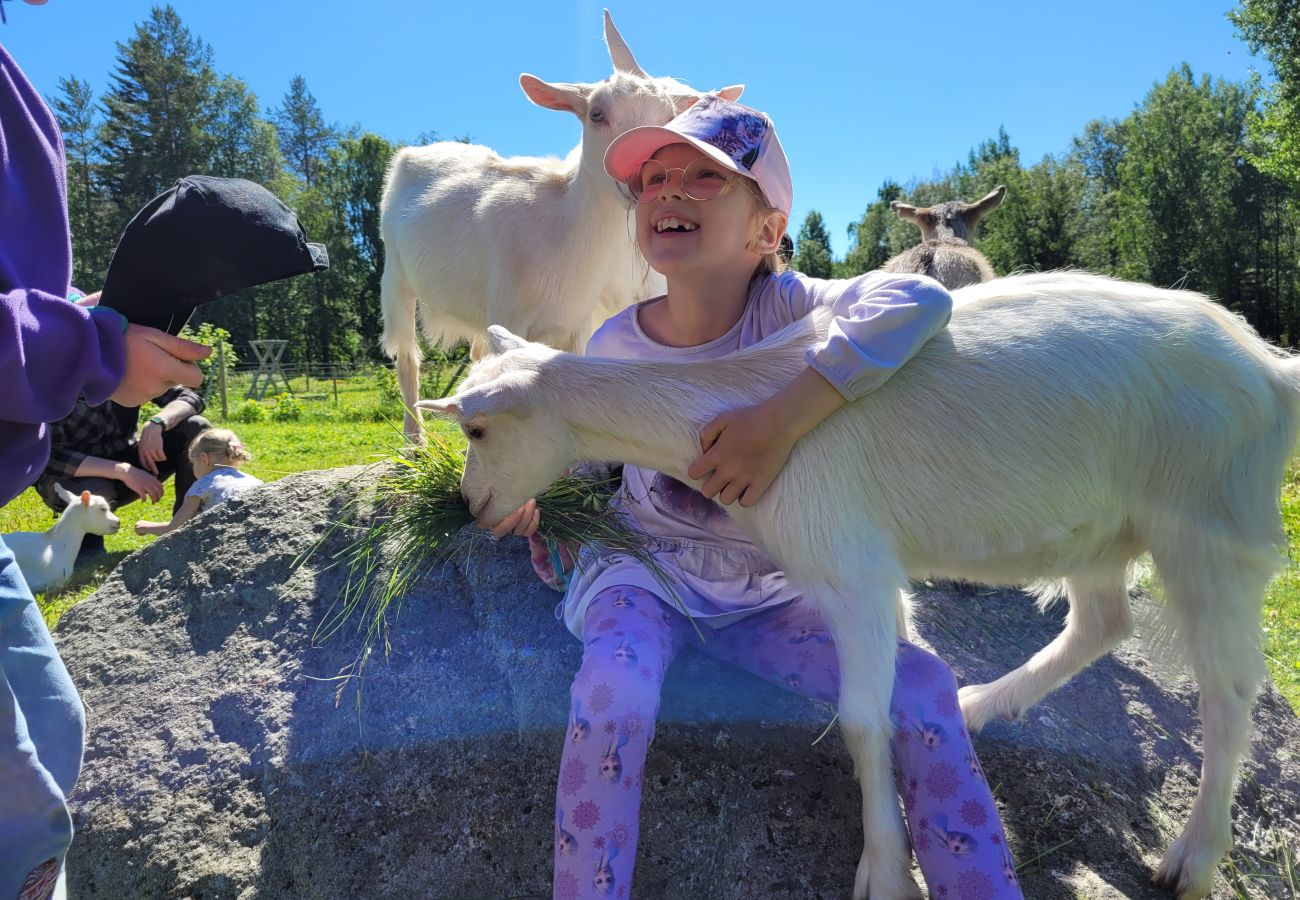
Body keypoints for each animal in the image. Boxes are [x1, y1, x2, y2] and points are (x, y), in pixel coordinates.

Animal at [379, 9, 743, 439]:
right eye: (597, 115)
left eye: (670, 118)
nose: (641, 177)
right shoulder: (510, 312)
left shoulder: (584, 321)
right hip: (395, 279)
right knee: (407, 358)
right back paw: (414, 442)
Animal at [421, 270, 1294, 900]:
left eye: (477, 427)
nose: (474, 505)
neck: (723, 402)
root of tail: (1271, 370)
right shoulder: (871, 573)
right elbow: (901, 679)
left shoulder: (852, 567)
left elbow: (861, 721)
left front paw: (885, 871)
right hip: (1102, 530)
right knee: (1103, 621)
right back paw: (981, 704)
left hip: (1211, 525)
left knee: (1229, 689)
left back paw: (1191, 858)